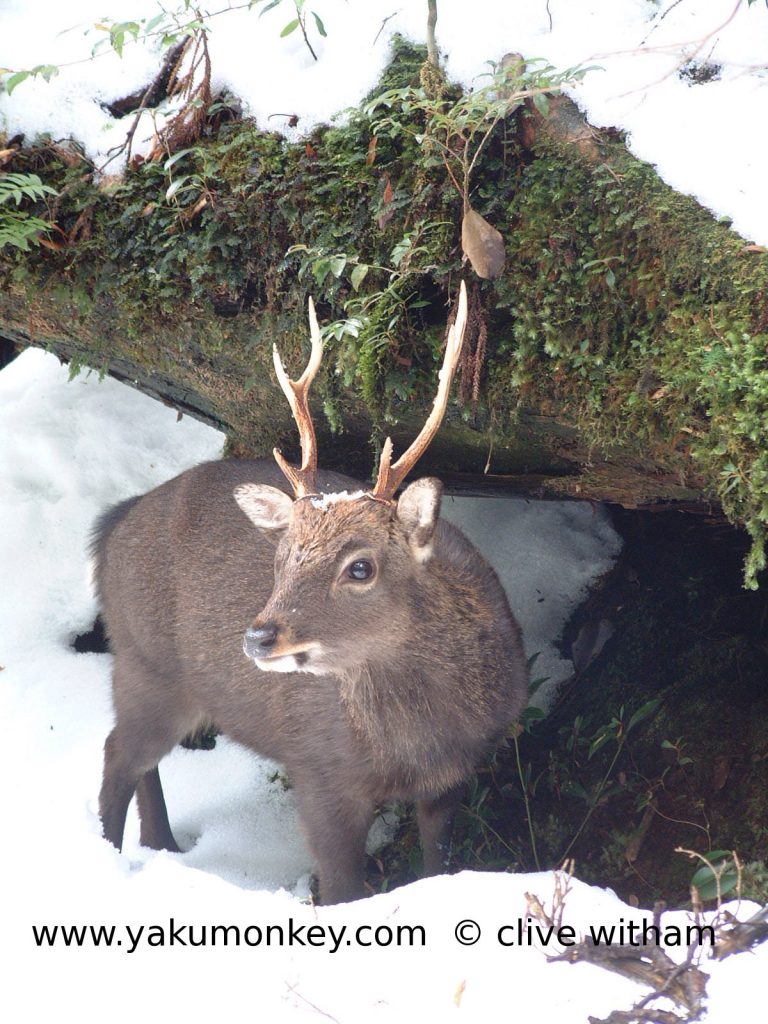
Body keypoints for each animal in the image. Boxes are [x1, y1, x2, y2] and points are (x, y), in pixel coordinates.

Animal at [94, 281, 529, 904]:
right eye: (282, 559)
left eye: (360, 567)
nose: (258, 636)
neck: (420, 741)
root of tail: (109, 530)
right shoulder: (321, 770)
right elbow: (342, 887)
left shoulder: (452, 779)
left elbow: (437, 864)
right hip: (143, 661)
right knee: (116, 754)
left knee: (137, 762)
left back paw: (164, 846)